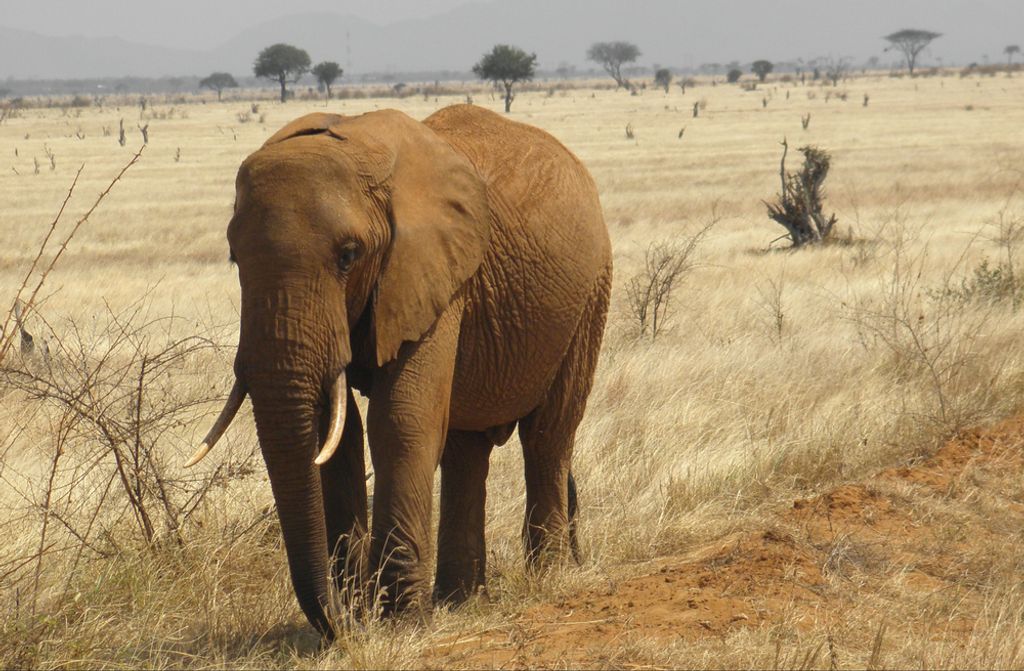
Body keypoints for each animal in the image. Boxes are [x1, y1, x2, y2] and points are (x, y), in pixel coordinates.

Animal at [187, 104, 612, 638]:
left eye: (348, 256)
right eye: (233, 257)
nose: (346, 623)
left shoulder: (435, 276)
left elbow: (400, 420)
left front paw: (401, 623)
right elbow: (336, 435)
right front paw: (367, 614)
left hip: (589, 294)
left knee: (547, 435)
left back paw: (546, 579)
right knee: (465, 449)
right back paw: (459, 601)